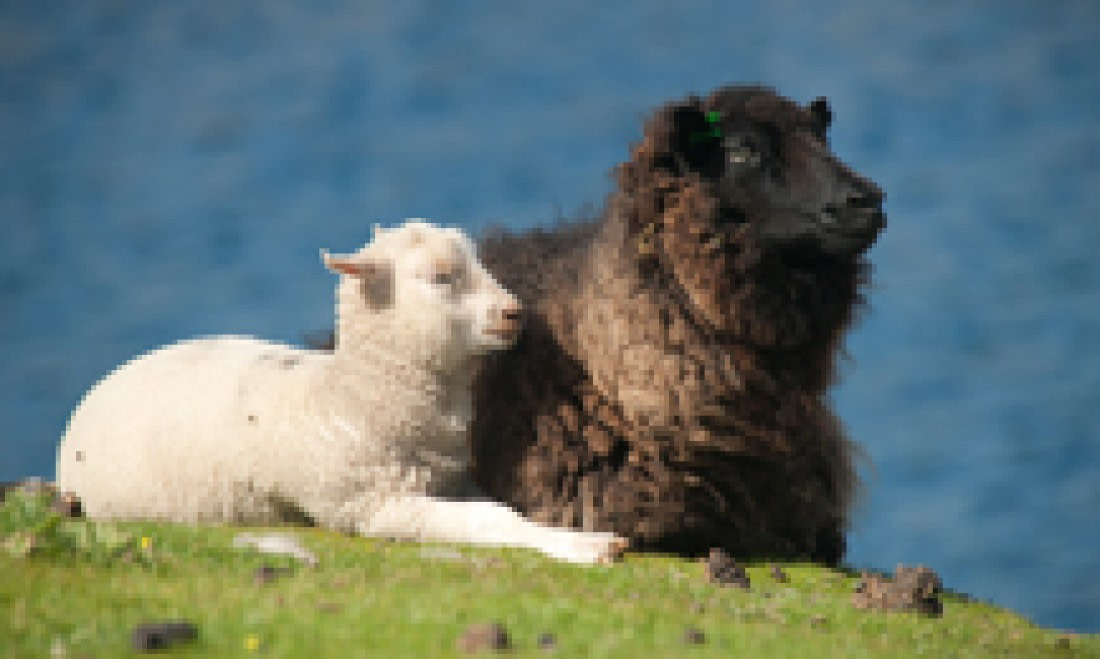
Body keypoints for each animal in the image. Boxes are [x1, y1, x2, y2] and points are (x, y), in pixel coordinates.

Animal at [55, 220, 628, 564]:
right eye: (438, 277)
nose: (514, 313)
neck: (351, 399)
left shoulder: (450, 483)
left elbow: (505, 512)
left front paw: (584, 539)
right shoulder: (371, 506)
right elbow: (487, 520)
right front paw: (588, 549)